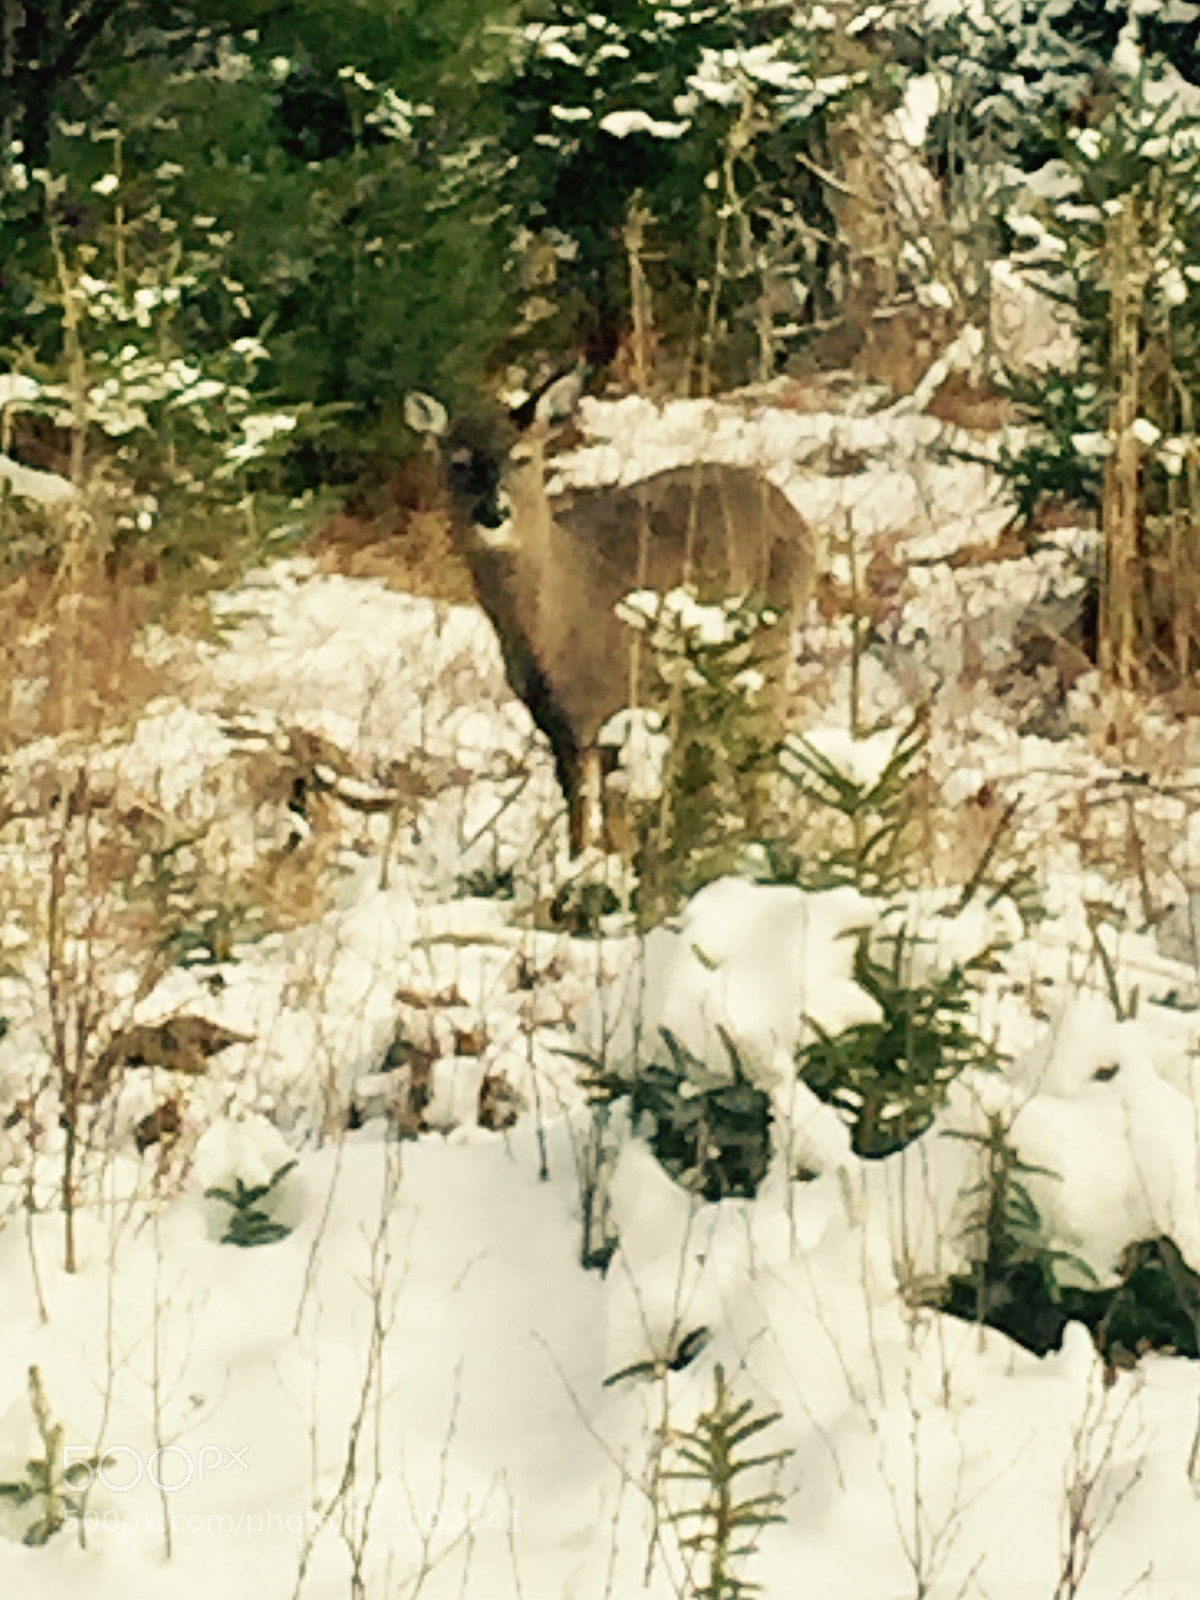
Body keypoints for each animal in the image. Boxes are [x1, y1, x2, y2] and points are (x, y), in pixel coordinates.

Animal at [405, 373, 816, 853]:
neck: (555, 628)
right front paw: (578, 863)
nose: (493, 512)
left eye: (523, 457)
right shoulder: (554, 720)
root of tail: (793, 512)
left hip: (770, 638)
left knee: (759, 753)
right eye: (458, 463)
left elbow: (615, 819)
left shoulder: (620, 701)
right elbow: (578, 814)